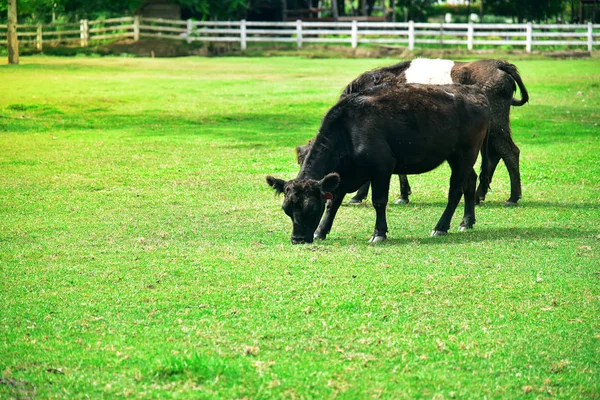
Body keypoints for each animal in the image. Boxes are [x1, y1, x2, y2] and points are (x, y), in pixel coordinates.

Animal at [270, 84, 490, 244]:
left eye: (312, 208)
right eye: (287, 209)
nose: (297, 239)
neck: (348, 130)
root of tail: (474, 92)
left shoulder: (382, 168)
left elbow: (379, 201)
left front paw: (379, 233)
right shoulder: (340, 176)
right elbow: (333, 203)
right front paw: (320, 231)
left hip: (464, 153)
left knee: (455, 190)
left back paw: (441, 227)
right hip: (459, 158)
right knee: (470, 181)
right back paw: (467, 221)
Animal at [298, 58, 528, 206]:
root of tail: (499, 64)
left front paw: (359, 195)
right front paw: (403, 194)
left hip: (496, 127)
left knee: (510, 152)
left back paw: (513, 197)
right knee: (494, 156)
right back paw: (480, 195)